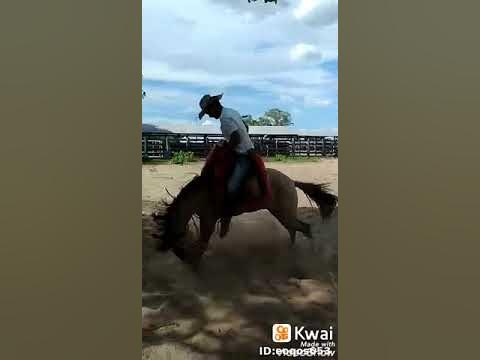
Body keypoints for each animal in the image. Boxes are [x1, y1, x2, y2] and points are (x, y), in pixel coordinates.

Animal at [153, 159, 338, 266]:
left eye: (176, 242)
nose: (182, 258)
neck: (202, 192)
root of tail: (291, 181)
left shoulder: (208, 219)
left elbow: (202, 242)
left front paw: (195, 261)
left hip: (285, 214)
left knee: (304, 228)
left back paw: (311, 254)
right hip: (282, 214)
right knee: (294, 229)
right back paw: (290, 249)